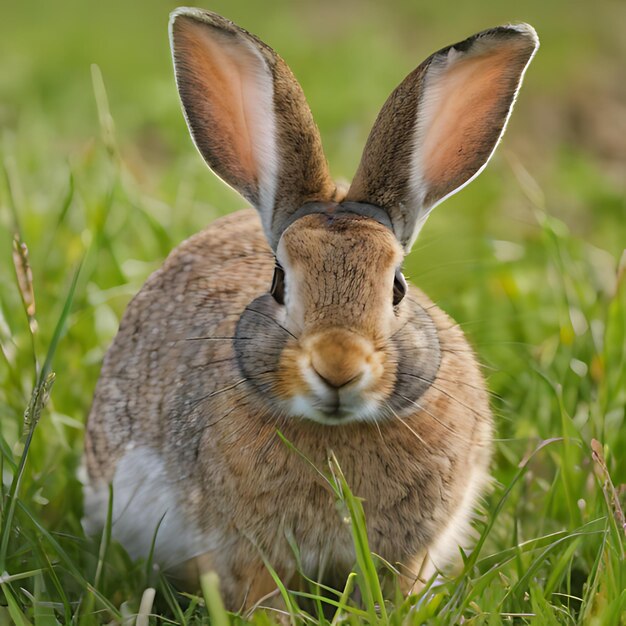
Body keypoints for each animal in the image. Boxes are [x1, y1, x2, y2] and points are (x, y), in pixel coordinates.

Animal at [83, 4, 536, 608]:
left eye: (398, 285)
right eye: (279, 282)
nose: (338, 367)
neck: (336, 432)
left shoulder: (409, 555)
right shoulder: (242, 552)